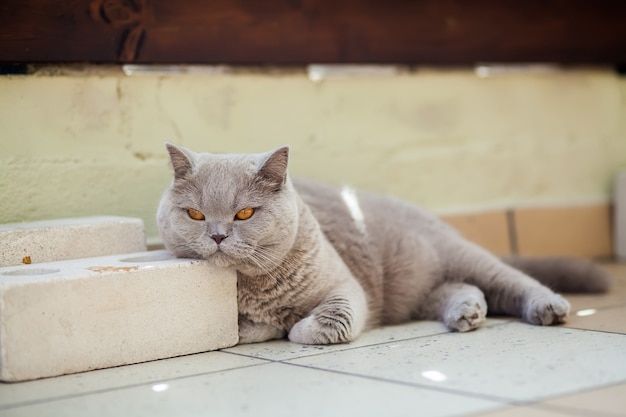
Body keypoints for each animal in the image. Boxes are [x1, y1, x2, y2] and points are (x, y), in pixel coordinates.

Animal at [157, 143, 608, 344]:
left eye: (245, 214)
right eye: (195, 215)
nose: (217, 235)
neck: (253, 287)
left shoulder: (344, 284)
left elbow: (333, 318)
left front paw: (299, 328)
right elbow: (248, 328)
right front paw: (271, 324)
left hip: (458, 255)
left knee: (512, 280)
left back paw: (548, 307)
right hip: (410, 291)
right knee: (456, 289)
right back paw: (467, 311)